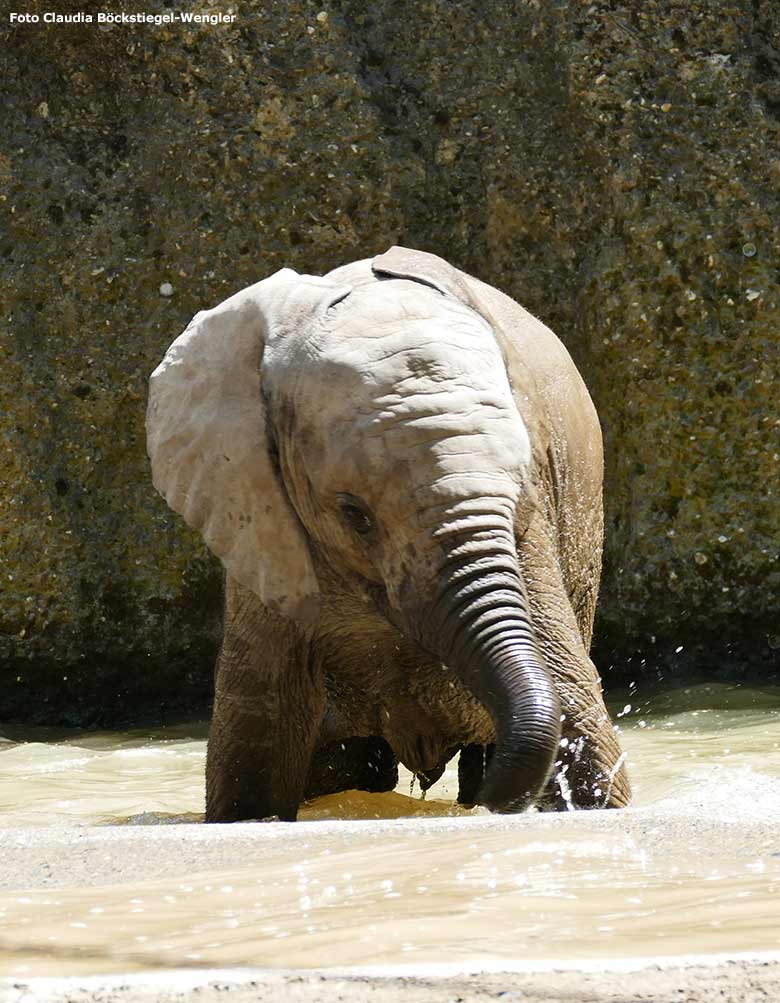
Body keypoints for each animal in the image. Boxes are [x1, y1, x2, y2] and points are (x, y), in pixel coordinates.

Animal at [146, 244, 629, 822]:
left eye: (521, 491)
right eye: (354, 513)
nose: (501, 801)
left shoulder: (534, 532)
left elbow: (578, 714)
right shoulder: (261, 526)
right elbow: (252, 761)